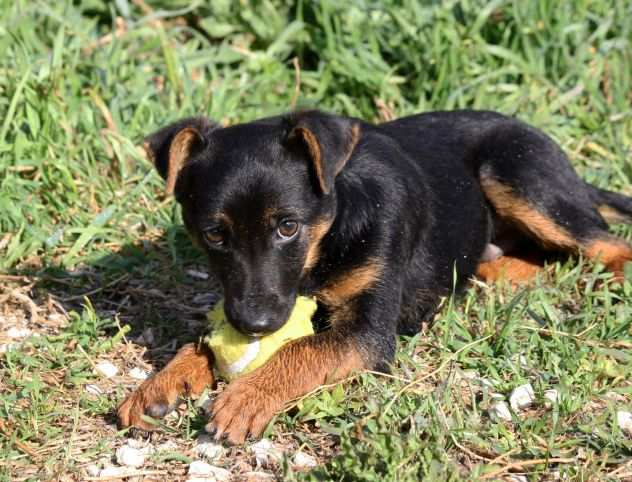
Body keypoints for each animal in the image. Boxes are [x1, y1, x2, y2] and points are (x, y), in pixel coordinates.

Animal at [117, 109, 632, 444]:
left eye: (288, 226)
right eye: (214, 235)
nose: (254, 326)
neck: (329, 240)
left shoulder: (368, 334)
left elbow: (301, 350)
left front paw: (247, 396)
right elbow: (200, 341)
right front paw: (160, 383)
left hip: (518, 174)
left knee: (607, 245)